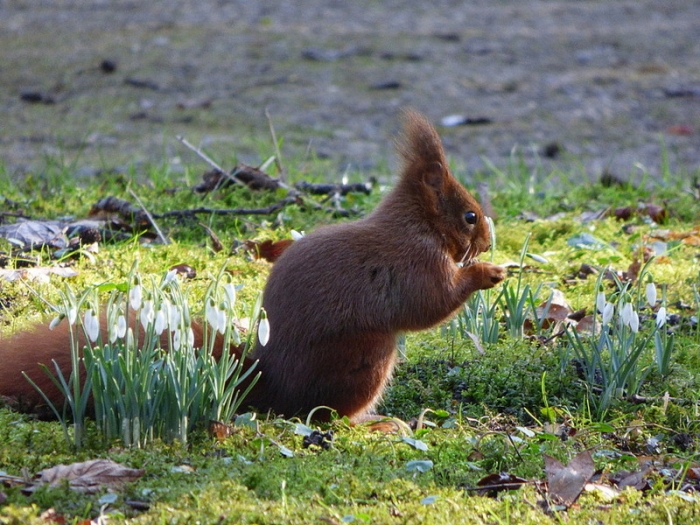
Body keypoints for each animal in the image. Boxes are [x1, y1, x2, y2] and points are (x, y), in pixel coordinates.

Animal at [0, 110, 505, 422]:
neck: (417, 225)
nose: (487, 240)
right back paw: (375, 423)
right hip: (369, 355)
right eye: (469, 216)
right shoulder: (414, 263)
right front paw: (489, 273)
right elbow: (430, 303)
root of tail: (273, 386)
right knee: (325, 415)